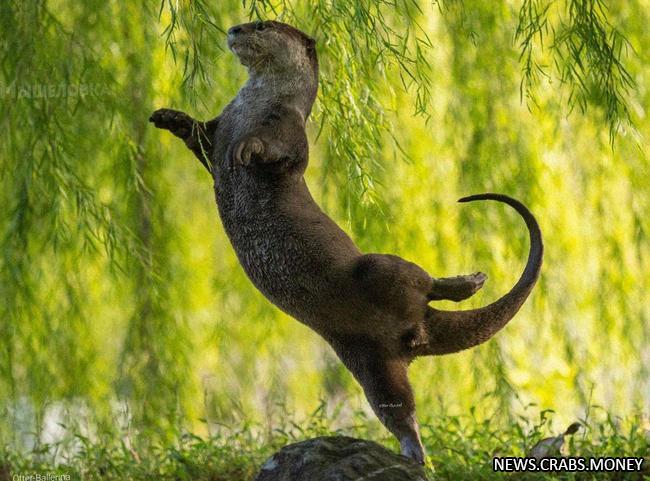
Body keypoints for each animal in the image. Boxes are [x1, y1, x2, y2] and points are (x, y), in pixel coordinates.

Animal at [149, 20, 540, 464]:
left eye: (261, 24)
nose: (234, 28)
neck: (254, 105)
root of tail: (418, 327)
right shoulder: (220, 125)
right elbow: (197, 135)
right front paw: (167, 116)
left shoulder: (288, 130)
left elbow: (274, 151)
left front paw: (246, 149)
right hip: (369, 361)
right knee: (398, 407)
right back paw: (413, 454)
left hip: (378, 269)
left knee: (422, 281)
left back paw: (469, 282)